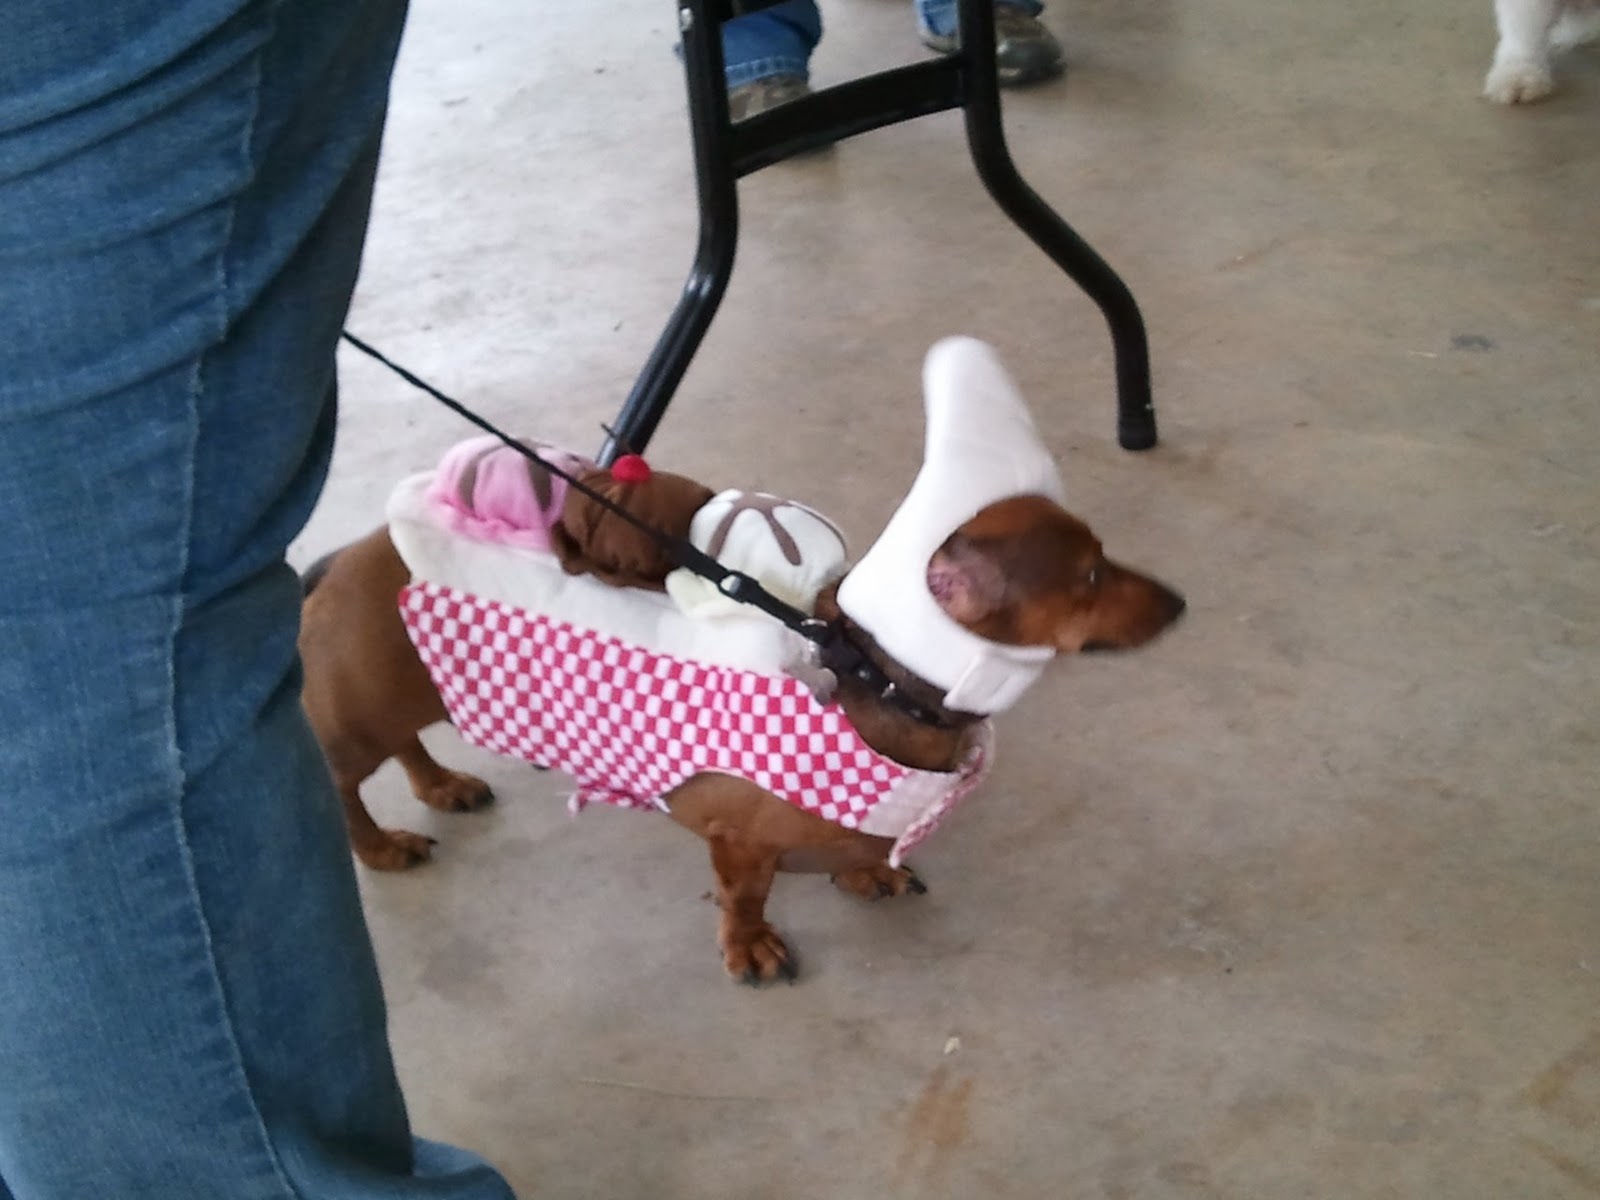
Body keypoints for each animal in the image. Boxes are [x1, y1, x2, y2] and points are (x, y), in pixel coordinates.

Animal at [298, 339, 1184, 982]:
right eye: (1089, 578)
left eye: (1102, 553)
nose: (1181, 603)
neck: (870, 679)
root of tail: (343, 558)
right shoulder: (737, 840)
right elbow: (745, 895)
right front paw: (749, 945)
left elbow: (854, 850)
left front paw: (864, 873)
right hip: (356, 717)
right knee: (340, 788)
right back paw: (381, 846)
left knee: (409, 746)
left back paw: (441, 786)